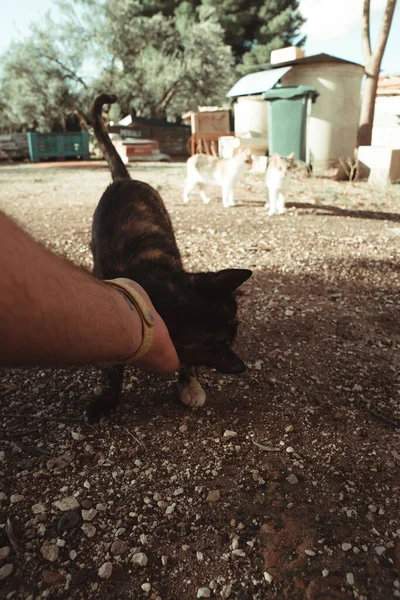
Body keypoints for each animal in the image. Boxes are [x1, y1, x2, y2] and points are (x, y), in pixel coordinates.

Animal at [85, 92, 252, 422]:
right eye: (216, 345)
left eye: (234, 333)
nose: (241, 367)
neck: (154, 278)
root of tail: (124, 179)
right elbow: (113, 367)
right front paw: (108, 397)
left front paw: (189, 384)